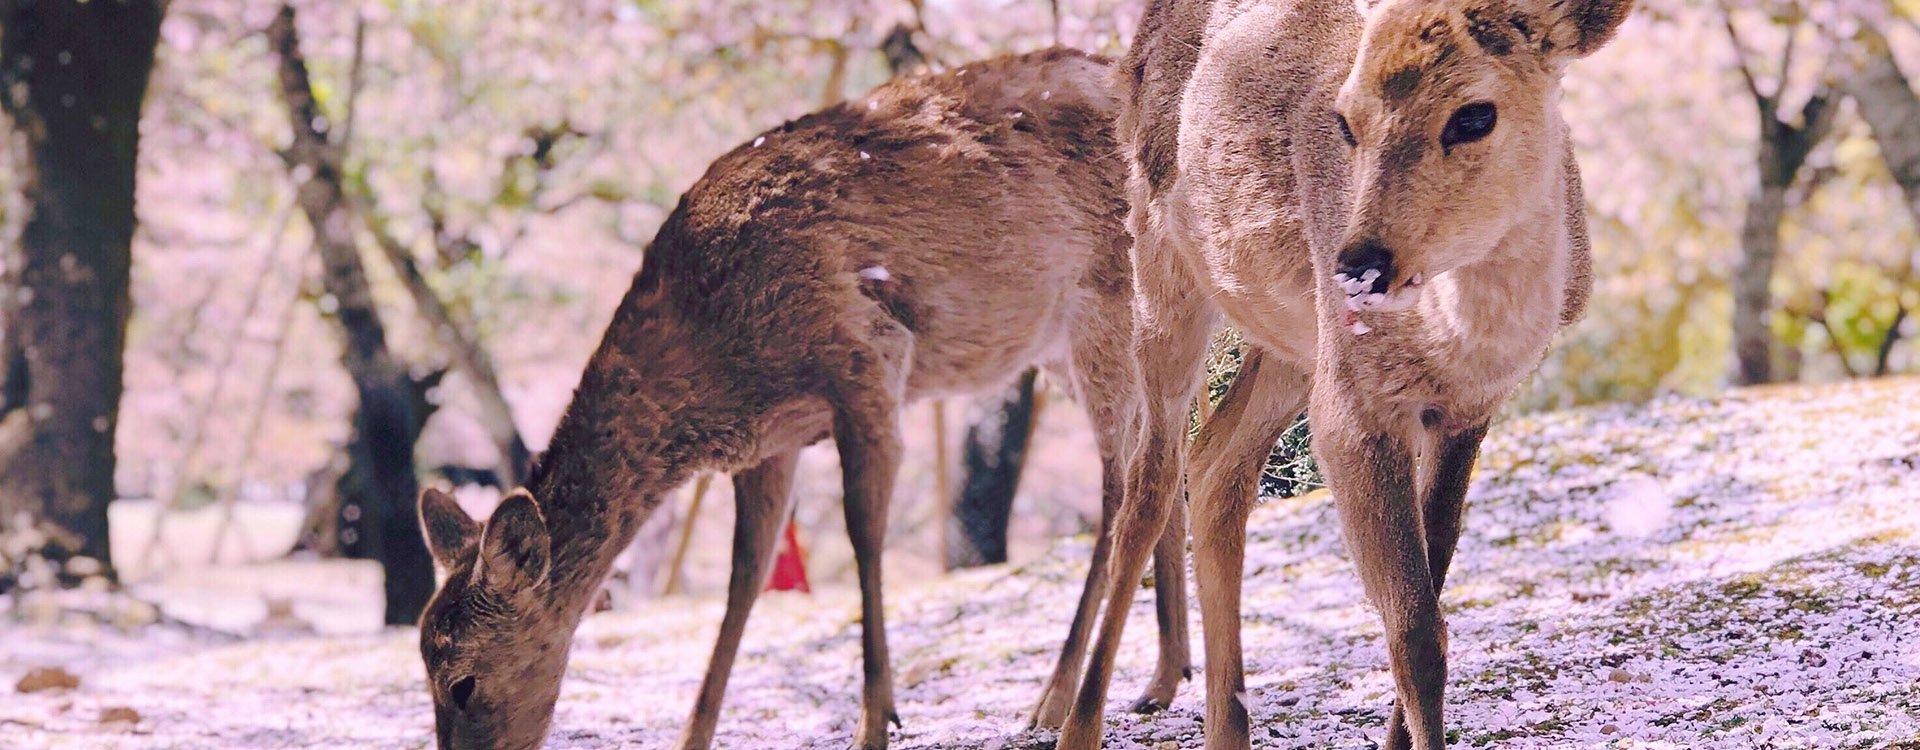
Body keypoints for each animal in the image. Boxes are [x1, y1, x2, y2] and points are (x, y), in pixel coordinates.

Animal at [412, 48, 1198, 750]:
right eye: (424, 670)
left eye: (463, 683)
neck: (716, 360)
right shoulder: (772, 441)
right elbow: (745, 576)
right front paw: (693, 735)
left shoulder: (868, 356)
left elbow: (862, 533)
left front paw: (875, 721)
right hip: (1068, 347)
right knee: (1165, 460)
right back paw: (1164, 677)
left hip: (1105, 309)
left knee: (1122, 484)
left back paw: (1056, 698)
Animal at [1059, 0, 1628, 748]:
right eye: (1347, 120)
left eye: (1475, 114)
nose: (1360, 263)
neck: (1462, 346)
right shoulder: (1354, 413)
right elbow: (1415, 631)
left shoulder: (1468, 410)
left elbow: (1434, 587)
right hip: (1160, 262)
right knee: (1149, 488)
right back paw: (1078, 723)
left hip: (1295, 345)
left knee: (1216, 462)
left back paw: (1224, 727)